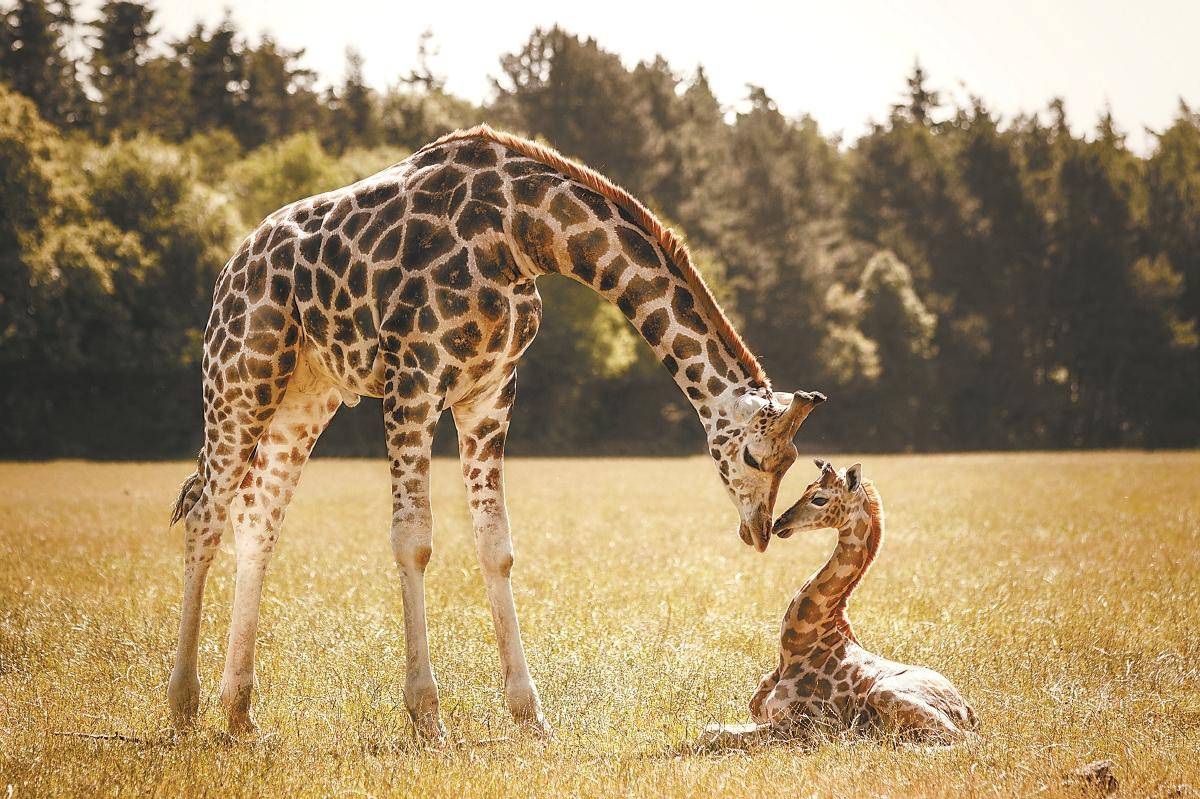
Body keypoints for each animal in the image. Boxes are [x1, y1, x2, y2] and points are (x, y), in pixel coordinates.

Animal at [169, 121, 825, 739]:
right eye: (759, 458)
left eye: (792, 462)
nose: (759, 532)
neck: (521, 231)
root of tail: (230, 269)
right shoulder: (414, 380)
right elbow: (413, 540)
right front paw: (427, 717)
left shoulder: (489, 393)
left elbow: (496, 546)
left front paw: (529, 714)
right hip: (240, 376)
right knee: (206, 515)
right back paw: (182, 705)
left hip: (304, 395)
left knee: (256, 520)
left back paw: (239, 713)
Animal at [748, 458, 974, 743]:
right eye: (805, 489)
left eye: (820, 499)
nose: (778, 524)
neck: (796, 648)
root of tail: (968, 711)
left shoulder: (801, 726)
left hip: (885, 692)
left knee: (964, 740)